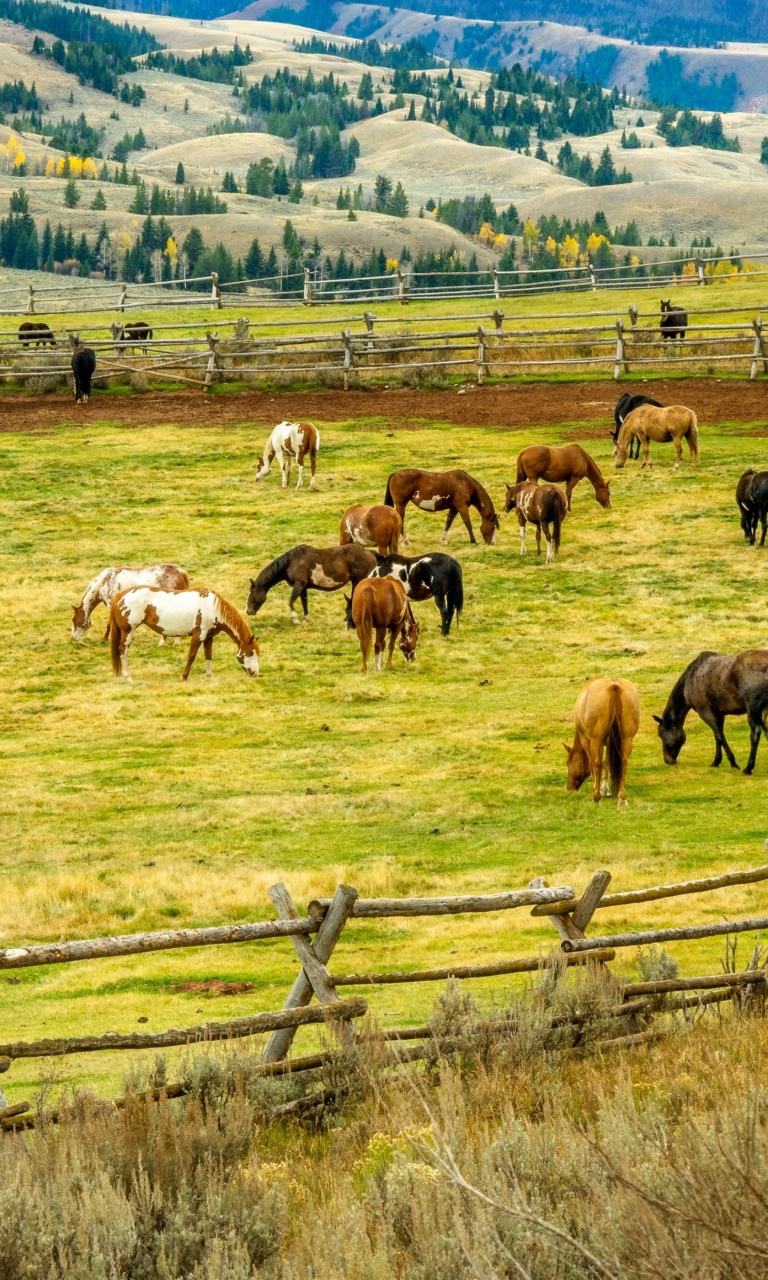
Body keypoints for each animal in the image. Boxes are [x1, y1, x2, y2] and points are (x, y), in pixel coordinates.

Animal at [108, 586, 259, 686]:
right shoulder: (198, 635)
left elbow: (208, 655)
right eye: (251, 652)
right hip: (128, 631)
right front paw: (184, 676)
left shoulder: (209, 637)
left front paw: (209, 676)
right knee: (123, 651)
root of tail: (120, 595)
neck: (213, 607)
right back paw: (128, 677)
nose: (255, 673)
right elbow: (191, 656)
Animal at [245, 542, 378, 622]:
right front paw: (306, 619)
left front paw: (295, 620)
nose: (248, 611)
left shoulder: (299, 584)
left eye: (251, 595)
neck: (292, 562)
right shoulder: (303, 587)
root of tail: (370, 554)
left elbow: (291, 602)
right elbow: (304, 602)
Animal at [563, 675, 642, 803]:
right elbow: (607, 762)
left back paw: (596, 796)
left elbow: (593, 764)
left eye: (568, 762)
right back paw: (621, 796)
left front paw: (597, 788)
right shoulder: (610, 744)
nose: (569, 787)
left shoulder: (587, 741)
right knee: (624, 762)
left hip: (596, 741)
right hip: (627, 739)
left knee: (597, 763)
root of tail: (614, 686)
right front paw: (604, 788)